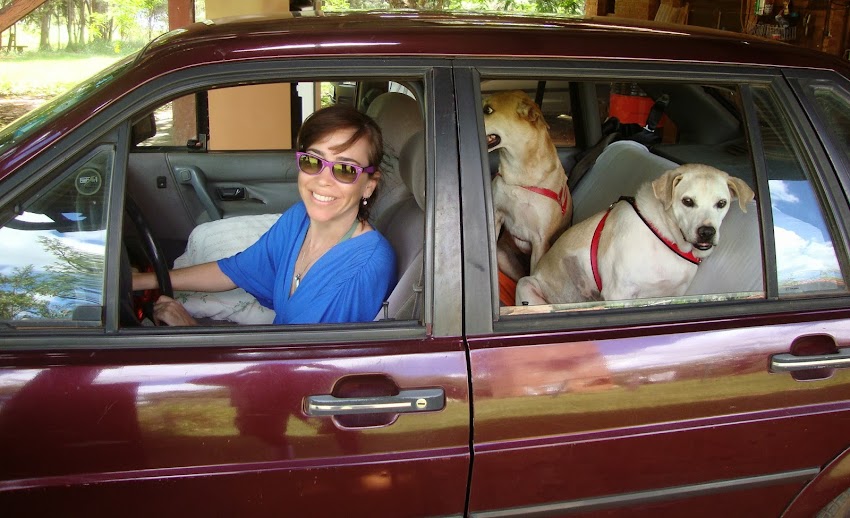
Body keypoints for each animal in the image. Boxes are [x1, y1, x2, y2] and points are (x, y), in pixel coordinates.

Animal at [515, 164, 755, 305]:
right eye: (687, 201)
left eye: (721, 203)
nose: (707, 232)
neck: (665, 238)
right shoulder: (617, 294)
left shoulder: (673, 295)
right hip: (526, 286)